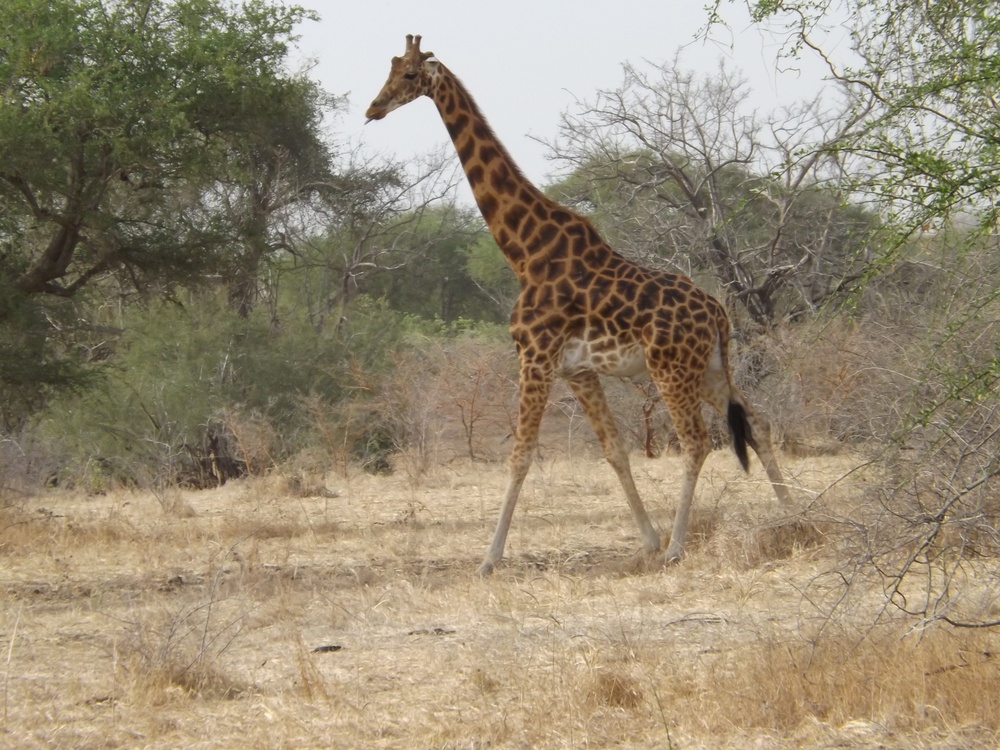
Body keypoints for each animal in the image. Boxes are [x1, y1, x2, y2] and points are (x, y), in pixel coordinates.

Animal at [364, 35, 792, 576]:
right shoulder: (578, 370)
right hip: (712, 367)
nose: (372, 109)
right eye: (389, 68)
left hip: (671, 369)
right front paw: (646, 541)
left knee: (697, 441)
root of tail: (717, 312)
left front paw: (488, 559)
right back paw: (794, 514)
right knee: (757, 420)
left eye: (408, 75)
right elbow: (614, 450)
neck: (525, 251)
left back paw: (680, 546)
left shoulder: (535, 356)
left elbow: (521, 455)